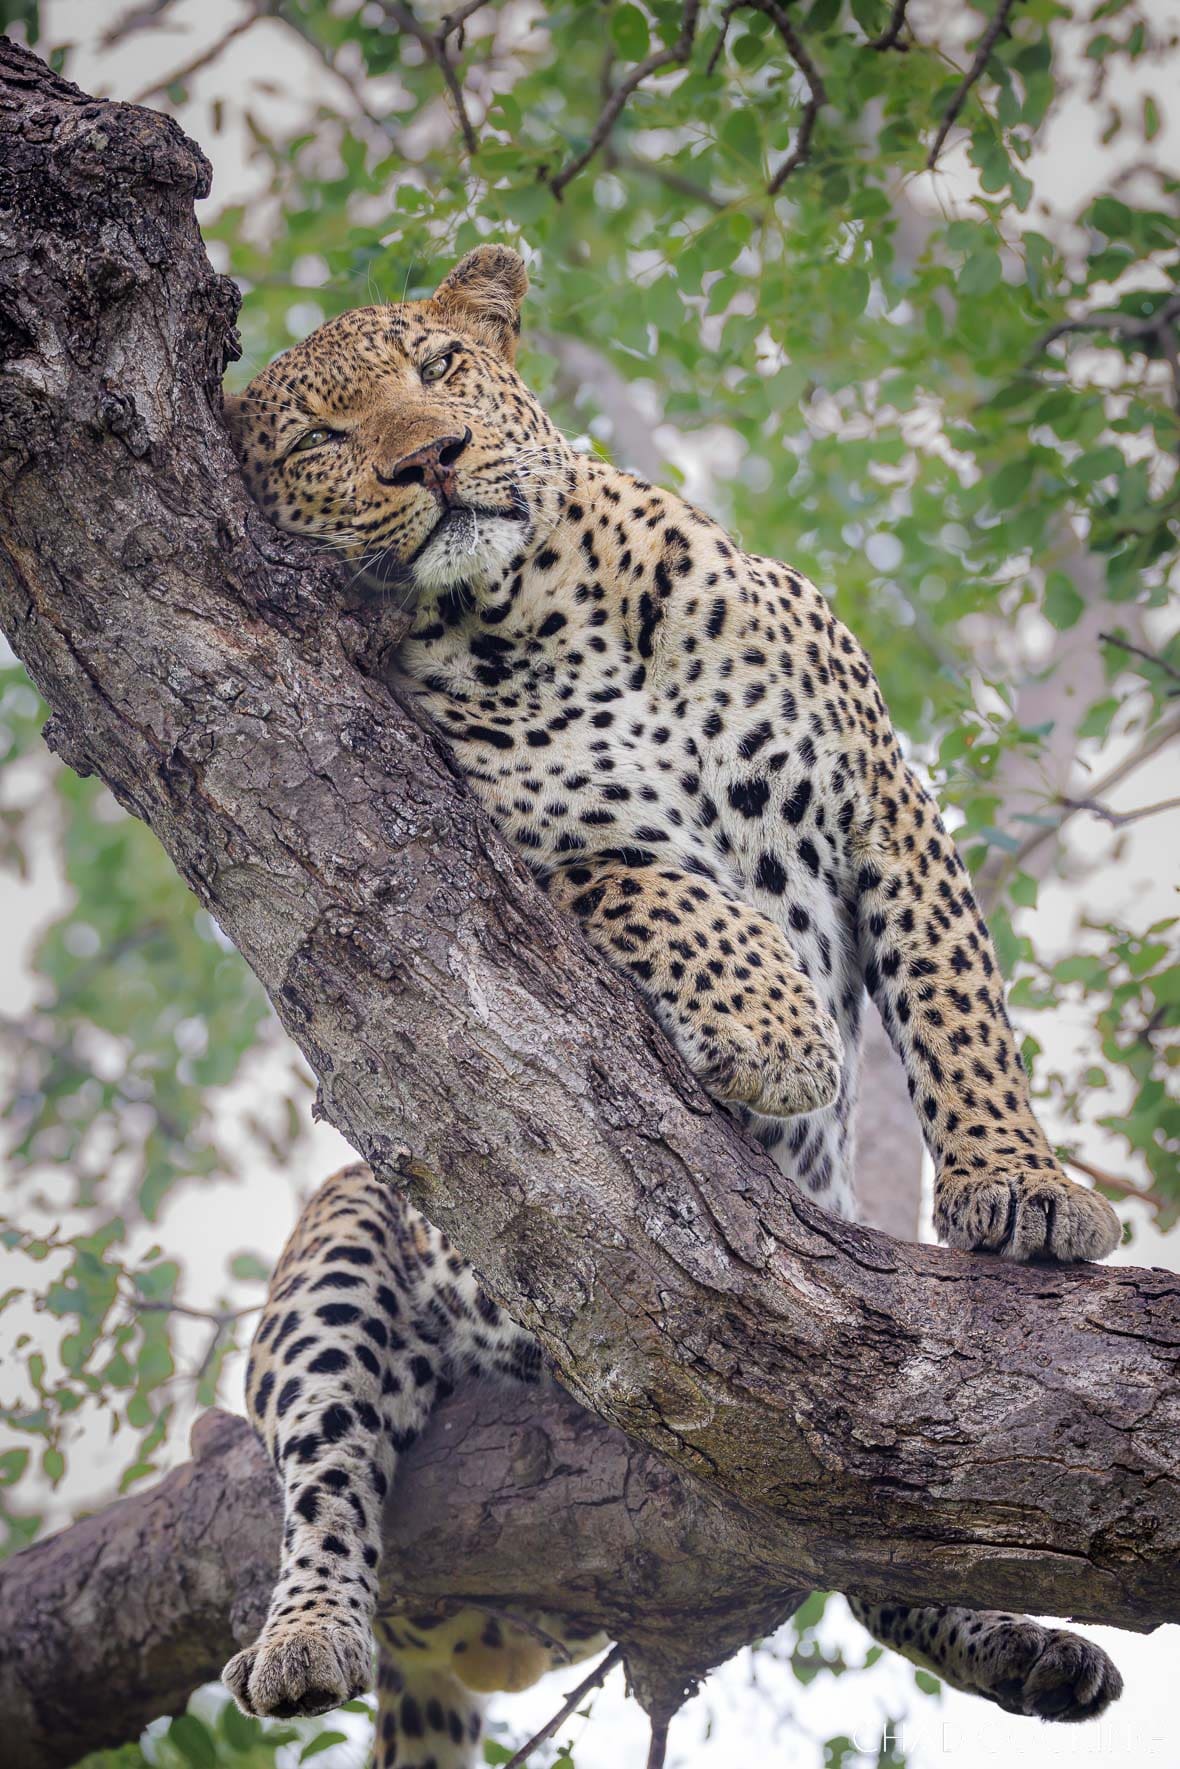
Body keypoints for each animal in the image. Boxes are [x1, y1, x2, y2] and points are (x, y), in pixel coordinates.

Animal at [221, 246, 1124, 1761]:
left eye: (440, 369)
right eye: (323, 439)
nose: (431, 459)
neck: (543, 617)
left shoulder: (881, 786)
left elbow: (958, 1008)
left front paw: (1022, 1188)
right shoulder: (513, 861)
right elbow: (673, 892)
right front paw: (775, 1038)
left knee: (887, 1552)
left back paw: (1034, 1652)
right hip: (347, 1234)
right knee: (324, 1465)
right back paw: (306, 1634)